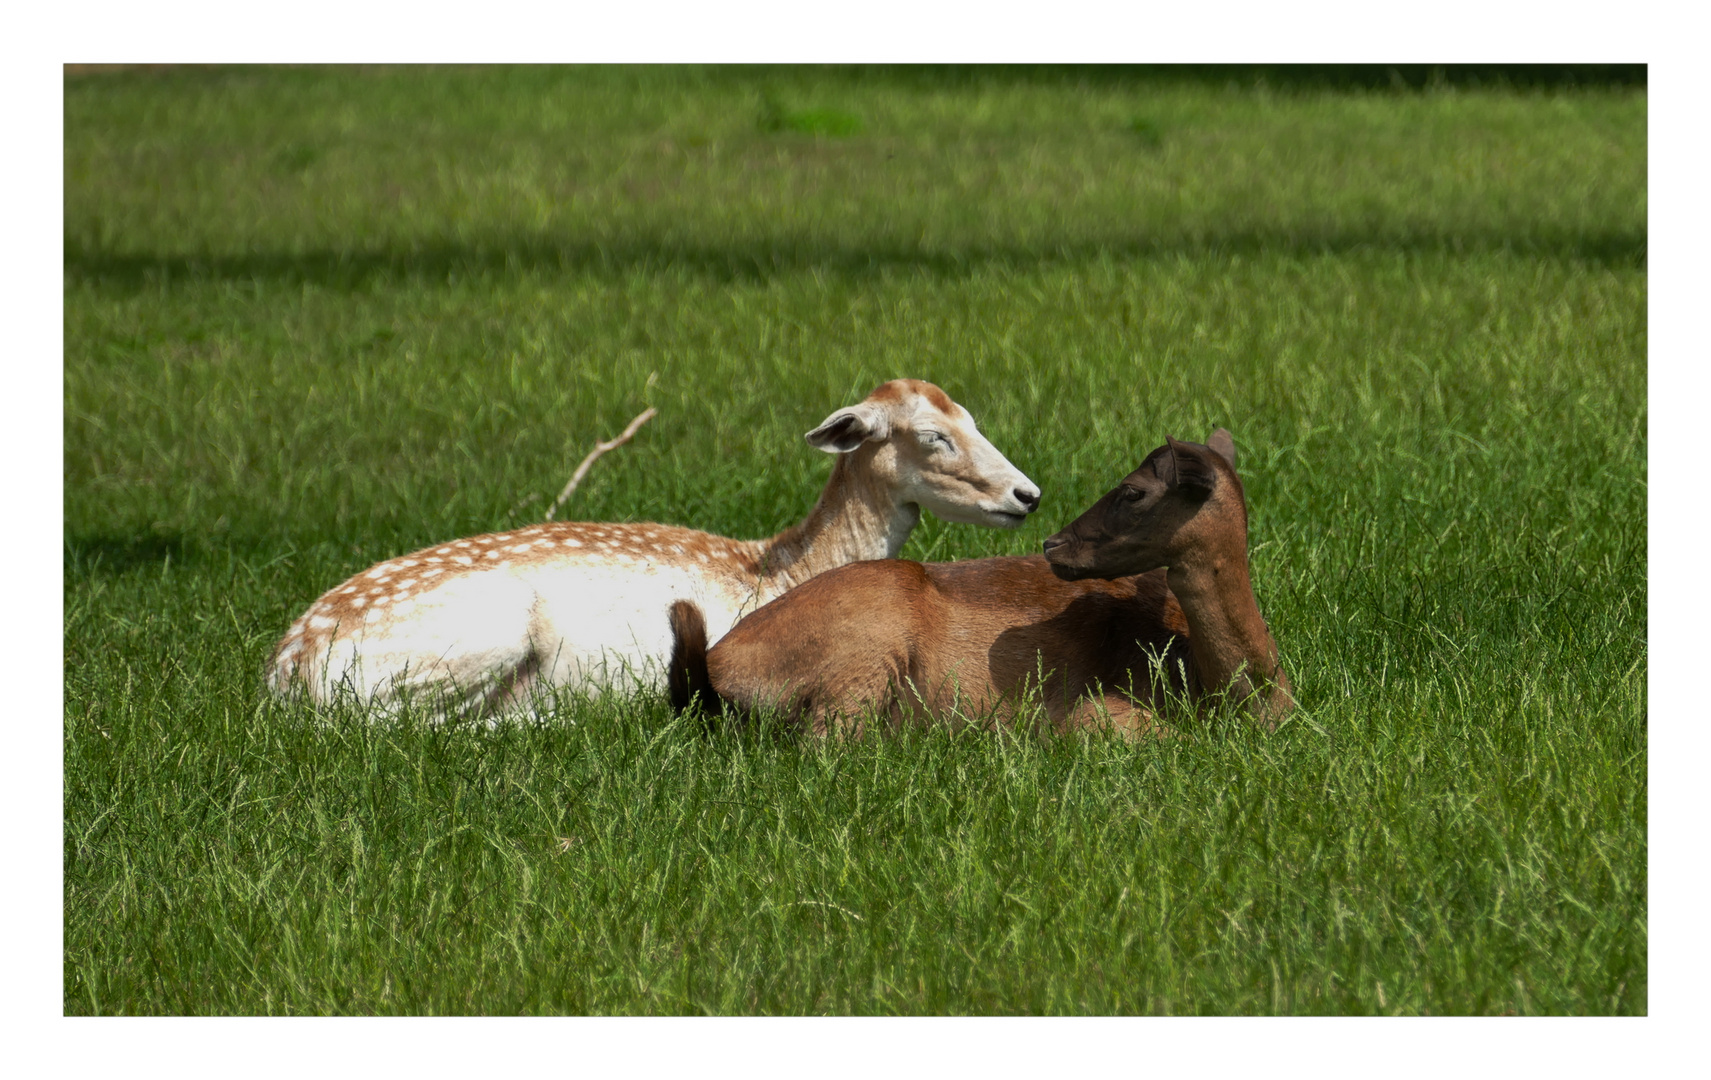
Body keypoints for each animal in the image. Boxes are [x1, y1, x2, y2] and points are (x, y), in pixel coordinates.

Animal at [266, 379, 1040, 718]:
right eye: (933, 436)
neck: (780, 566)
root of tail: (284, 675)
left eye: (971, 417)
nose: (1026, 494)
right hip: (466, 645)